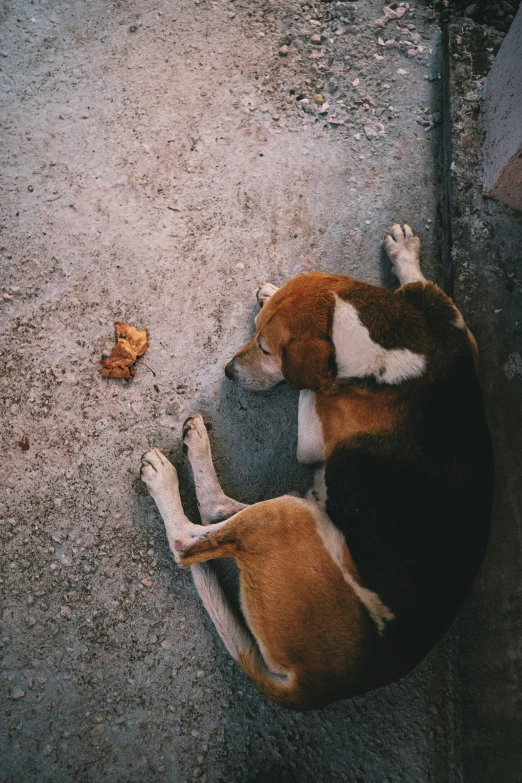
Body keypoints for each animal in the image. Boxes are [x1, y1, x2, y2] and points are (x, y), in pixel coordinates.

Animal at [139, 225, 492, 712]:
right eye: (256, 333)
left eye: (266, 349)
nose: (228, 371)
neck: (387, 339)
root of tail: (316, 686)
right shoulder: (457, 330)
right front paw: (402, 254)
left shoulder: (313, 433)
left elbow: (310, 388)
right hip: (304, 515)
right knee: (218, 514)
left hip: (287, 518)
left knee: (189, 537)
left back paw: (172, 471)